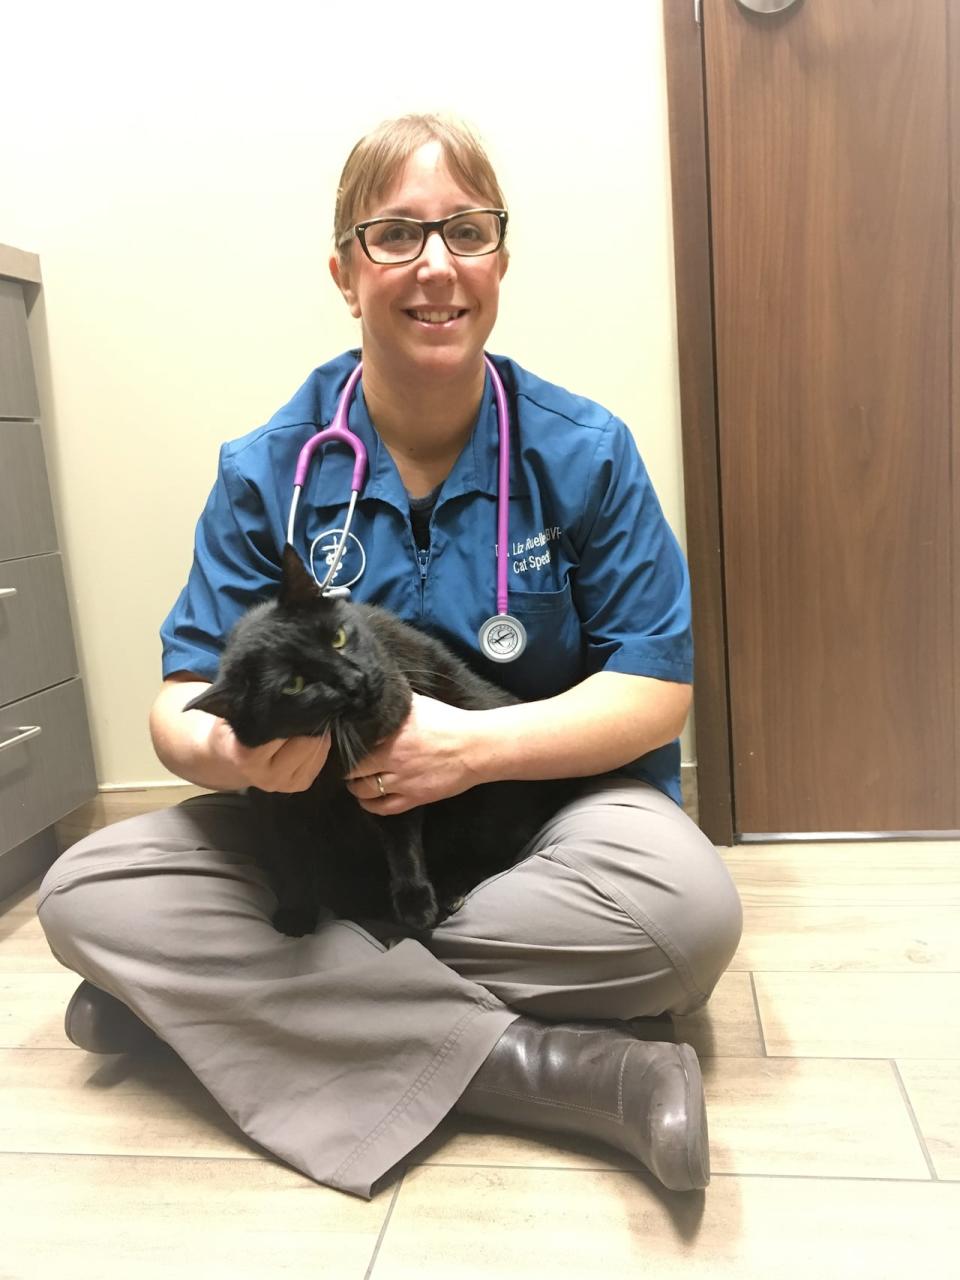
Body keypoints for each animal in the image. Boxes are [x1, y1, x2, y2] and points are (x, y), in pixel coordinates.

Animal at [185, 545, 583, 936]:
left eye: (337, 638)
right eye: (294, 685)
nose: (355, 681)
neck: (330, 764)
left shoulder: (393, 770)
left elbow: (402, 836)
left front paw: (416, 903)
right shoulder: (274, 797)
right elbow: (290, 856)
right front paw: (296, 911)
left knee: (499, 853)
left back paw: (449, 891)